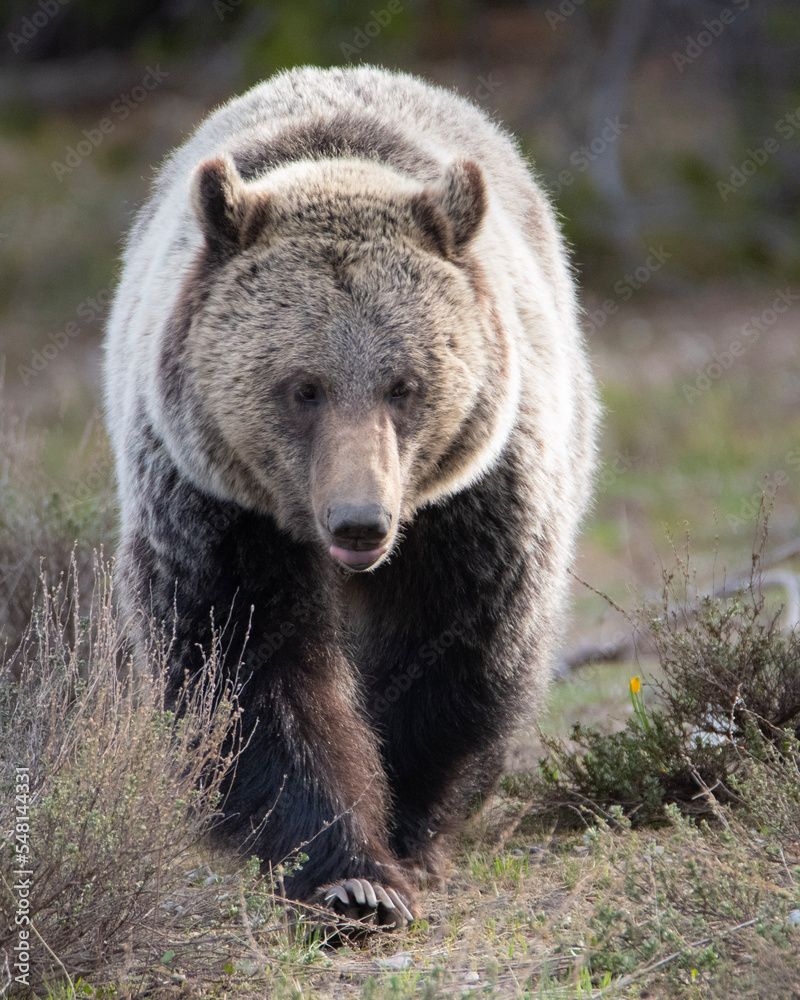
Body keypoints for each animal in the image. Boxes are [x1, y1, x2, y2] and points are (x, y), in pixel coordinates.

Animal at [103, 64, 596, 928]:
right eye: (304, 387)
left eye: (405, 384)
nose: (361, 522)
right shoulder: (216, 507)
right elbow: (247, 670)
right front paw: (348, 874)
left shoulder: (470, 504)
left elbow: (452, 648)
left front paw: (407, 834)